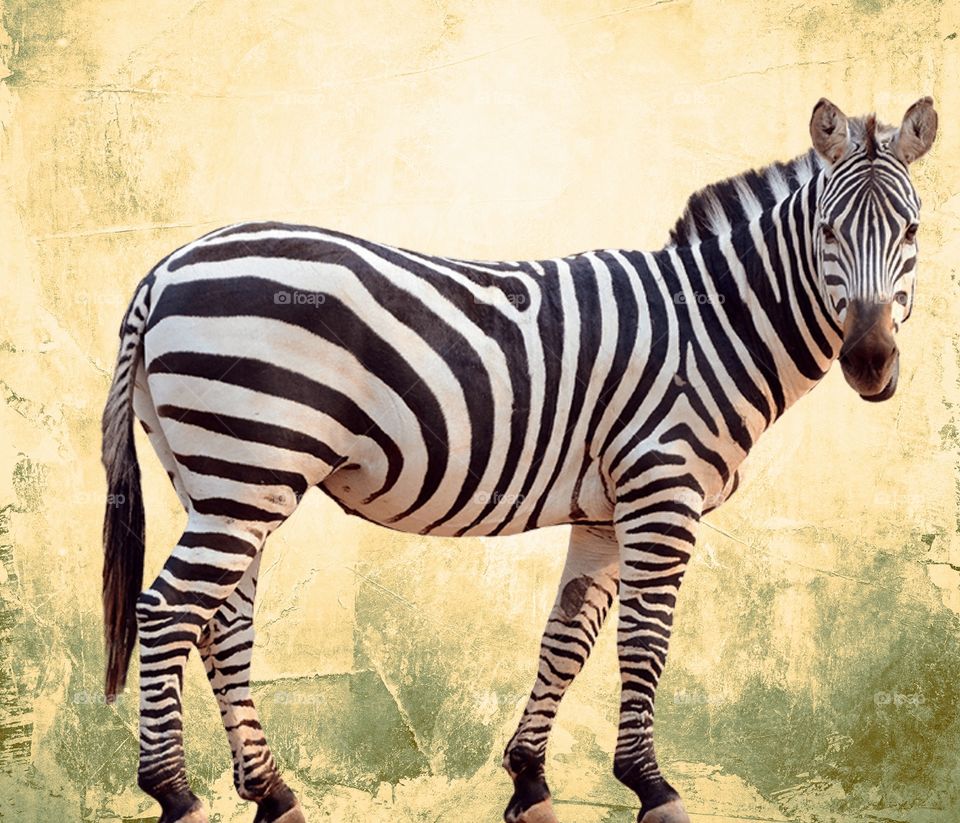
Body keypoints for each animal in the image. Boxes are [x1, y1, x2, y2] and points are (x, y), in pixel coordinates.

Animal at [100, 96, 937, 823]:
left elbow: (567, 638)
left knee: (222, 623)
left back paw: (273, 791)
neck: (713, 325)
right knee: (169, 609)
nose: (870, 362)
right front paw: (652, 784)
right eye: (827, 230)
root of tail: (162, 271)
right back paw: (176, 794)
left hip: (219, 479)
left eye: (913, 230)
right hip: (247, 470)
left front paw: (530, 779)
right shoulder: (662, 489)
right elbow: (645, 639)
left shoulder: (606, 508)